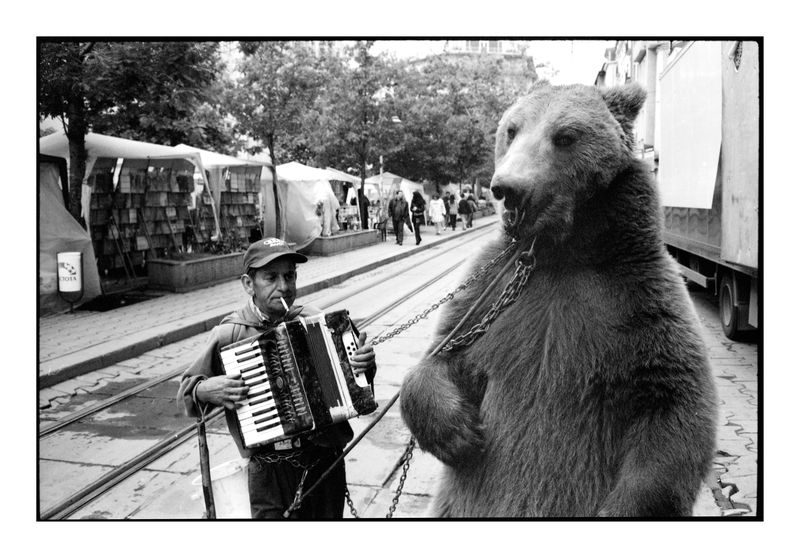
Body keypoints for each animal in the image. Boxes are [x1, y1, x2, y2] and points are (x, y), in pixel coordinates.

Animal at [399, 81, 717, 517]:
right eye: (512, 129)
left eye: (565, 136)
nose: (507, 187)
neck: (560, 255)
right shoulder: (491, 290)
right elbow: (443, 355)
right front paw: (460, 433)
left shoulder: (638, 296)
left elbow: (674, 402)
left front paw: (618, 510)